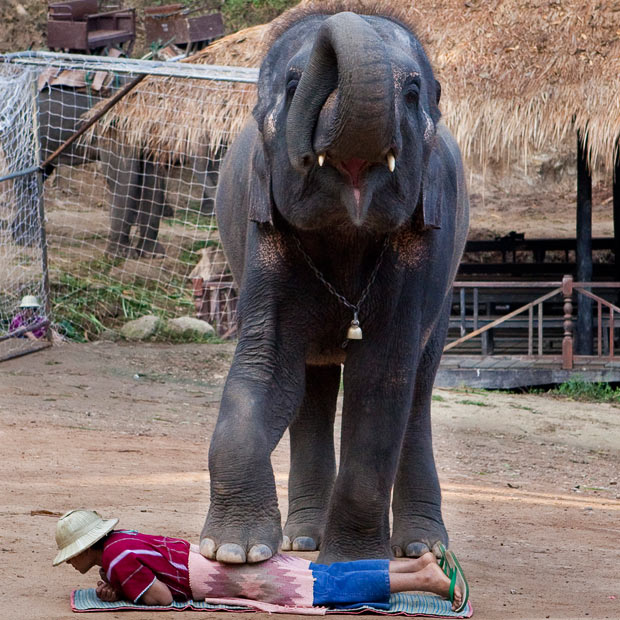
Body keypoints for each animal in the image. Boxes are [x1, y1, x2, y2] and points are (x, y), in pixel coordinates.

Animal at [203, 6, 470, 568]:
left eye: (412, 93)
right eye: (293, 85)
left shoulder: (421, 245)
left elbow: (382, 378)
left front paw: (353, 566)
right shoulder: (265, 232)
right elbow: (266, 366)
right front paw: (235, 552)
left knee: (417, 391)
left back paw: (422, 547)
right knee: (310, 390)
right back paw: (304, 540)